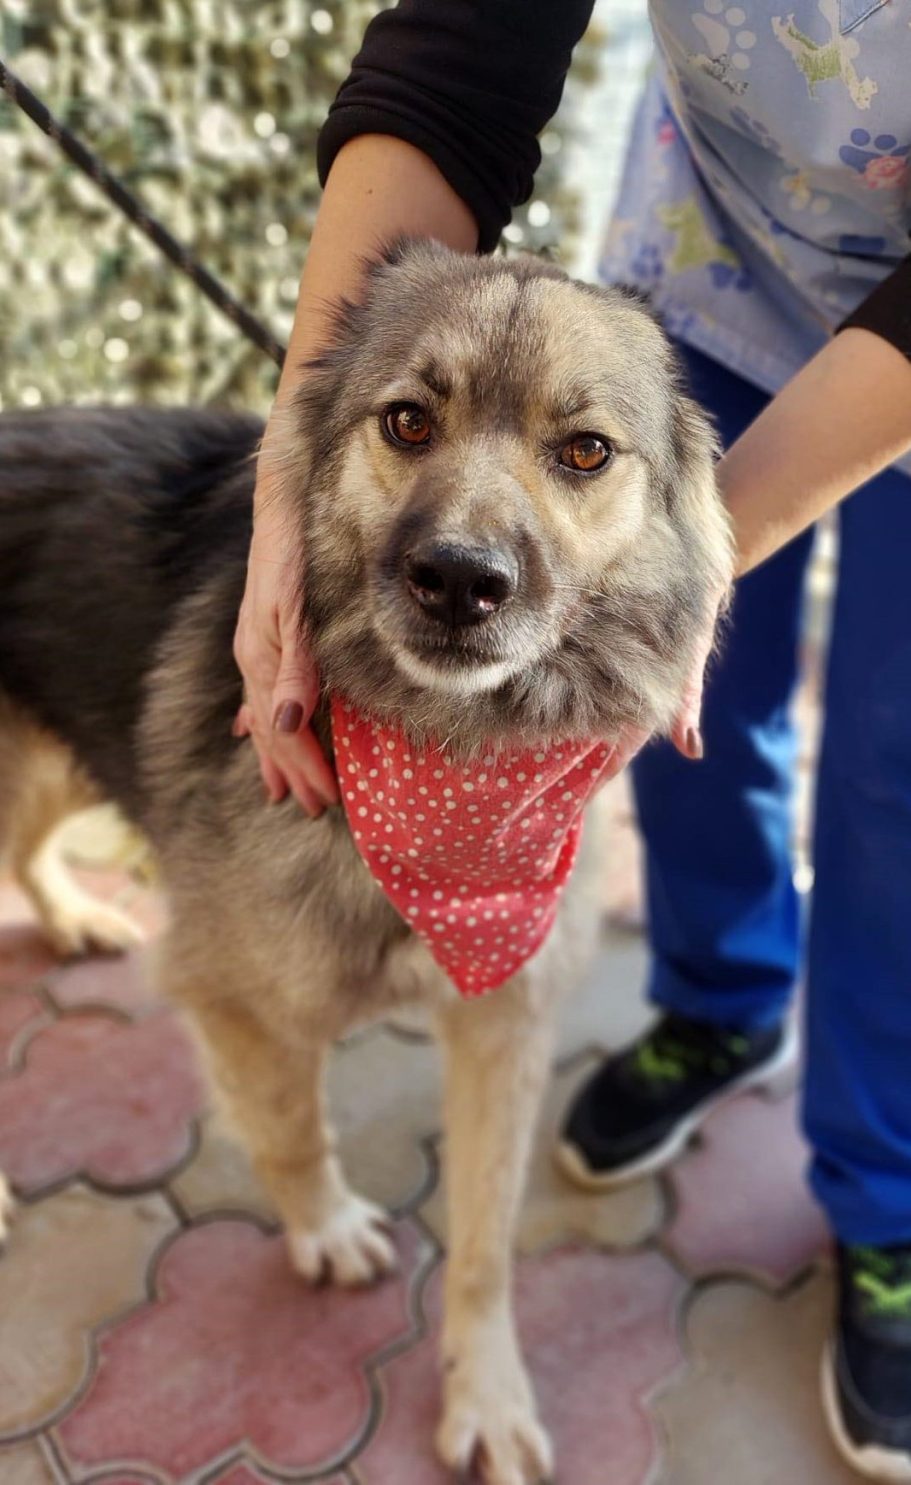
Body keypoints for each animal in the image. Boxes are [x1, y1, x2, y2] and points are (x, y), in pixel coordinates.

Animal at [0, 241, 731, 1484]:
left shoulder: (504, 1021)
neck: (446, 764)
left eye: (583, 451)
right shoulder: (232, 993)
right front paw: (325, 1227)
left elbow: (484, 1242)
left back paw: (70, 916)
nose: (460, 581)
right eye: (406, 421)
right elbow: (291, 1130)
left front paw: (485, 1392)